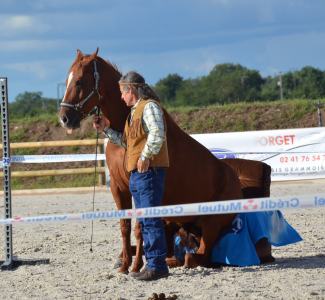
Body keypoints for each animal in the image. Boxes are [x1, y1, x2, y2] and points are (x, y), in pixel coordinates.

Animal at [57, 51, 264, 272]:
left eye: (79, 81)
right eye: (67, 81)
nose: (64, 118)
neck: (123, 130)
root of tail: (235, 180)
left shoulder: (138, 187)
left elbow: (140, 228)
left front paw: (136, 266)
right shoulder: (118, 187)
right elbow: (125, 226)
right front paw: (124, 265)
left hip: (210, 223)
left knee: (200, 256)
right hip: (180, 222)